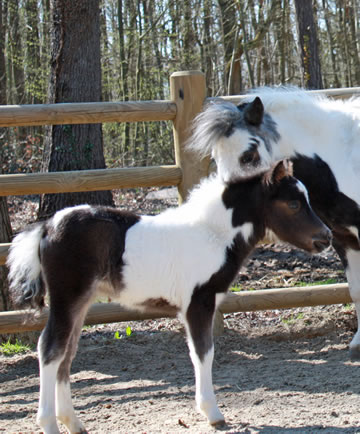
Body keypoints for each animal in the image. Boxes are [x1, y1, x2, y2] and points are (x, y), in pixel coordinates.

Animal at [7, 161, 330, 432]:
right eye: (293, 203)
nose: (325, 237)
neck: (212, 234)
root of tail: (46, 227)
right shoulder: (198, 303)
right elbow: (204, 352)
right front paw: (213, 414)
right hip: (67, 296)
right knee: (50, 348)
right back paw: (50, 424)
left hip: (81, 302)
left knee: (67, 352)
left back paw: (73, 422)